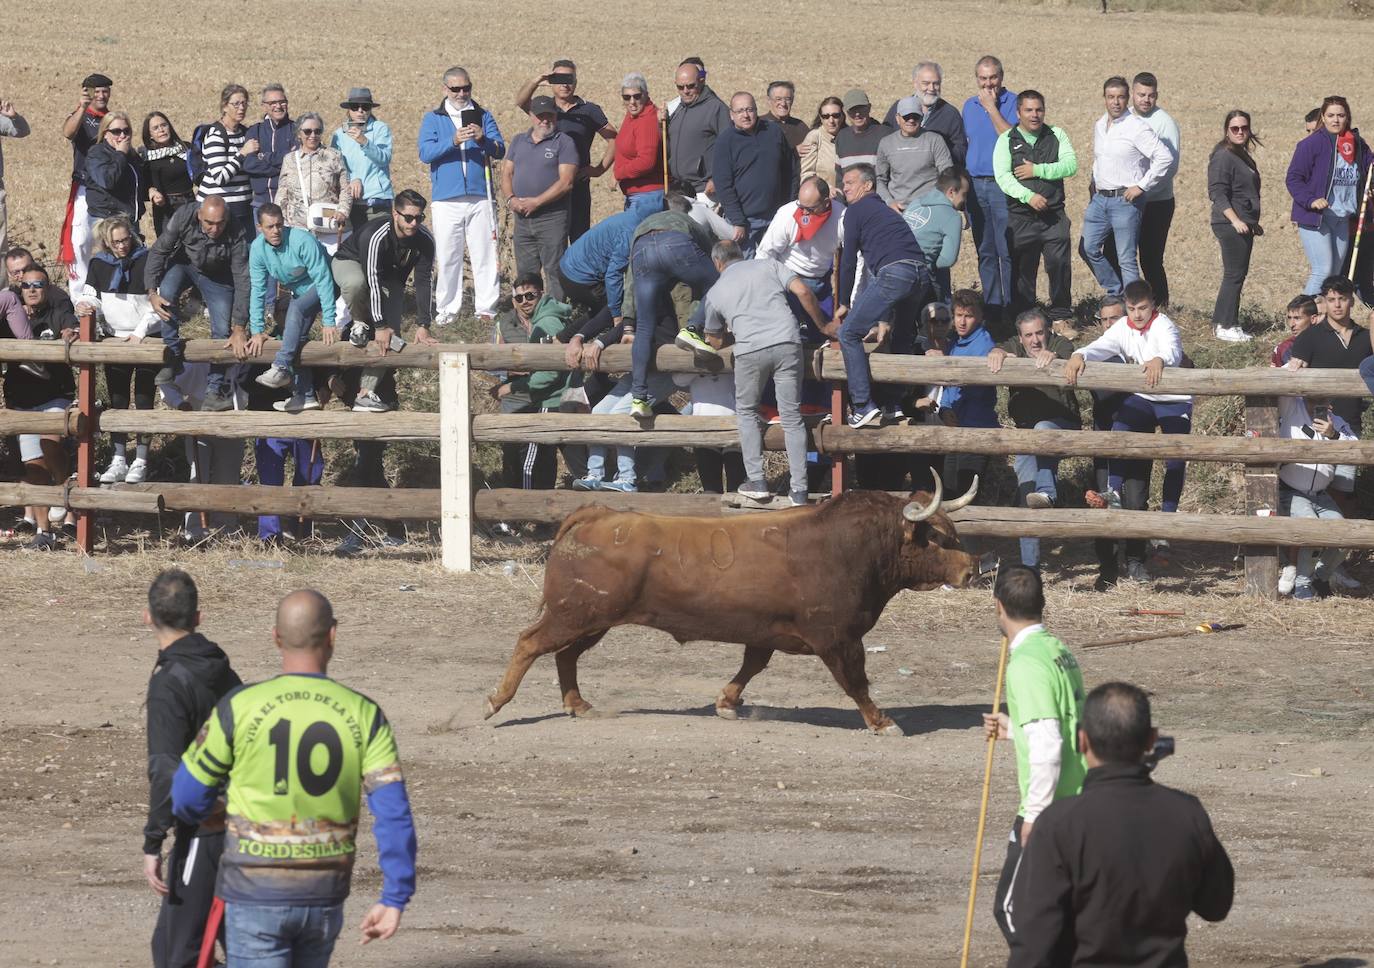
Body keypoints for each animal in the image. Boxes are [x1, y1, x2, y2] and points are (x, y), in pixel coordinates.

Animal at [489, 475, 983, 730]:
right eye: (939, 538)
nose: (970, 569)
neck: (847, 546)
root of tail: (596, 513)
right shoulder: (838, 639)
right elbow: (856, 682)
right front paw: (882, 721)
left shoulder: (766, 631)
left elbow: (752, 666)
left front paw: (726, 703)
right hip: (575, 613)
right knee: (531, 643)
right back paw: (496, 700)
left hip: (593, 620)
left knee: (565, 655)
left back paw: (577, 704)